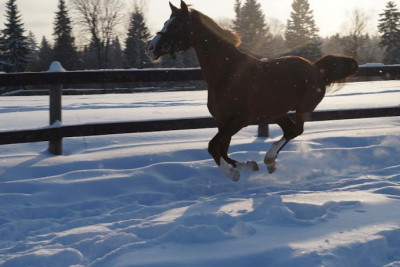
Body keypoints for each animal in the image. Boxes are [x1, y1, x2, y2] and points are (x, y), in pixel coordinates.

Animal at [145, 0, 358, 182]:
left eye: (177, 24)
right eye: (165, 22)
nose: (151, 48)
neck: (228, 73)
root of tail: (315, 68)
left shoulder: (238, 120)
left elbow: (213, 147)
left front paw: (234, 174)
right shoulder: (222, 121)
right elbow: (222, 149)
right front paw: (248, 165)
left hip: (302, 109)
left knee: (296, 130)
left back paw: (269, 158)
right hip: (277, 112)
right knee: (290, 130)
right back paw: (270, 164)